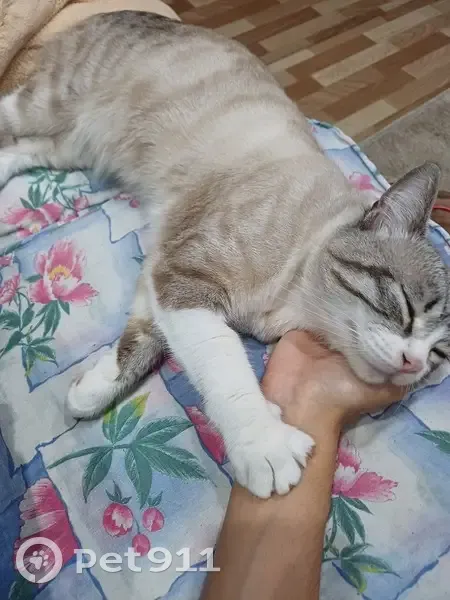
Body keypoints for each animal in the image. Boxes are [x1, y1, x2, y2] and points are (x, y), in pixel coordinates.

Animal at [0, 12, 449, 499]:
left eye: (439, 354)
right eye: (406, 307)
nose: (413, 364)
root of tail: (112, 13)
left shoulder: (164, 278)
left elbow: (139, 346)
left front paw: (90, 392)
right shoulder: (185, 280)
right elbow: (226, 368)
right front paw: (265, 445)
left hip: (75, 144)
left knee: (27, 150)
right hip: (44, 106)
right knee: (12, 116)